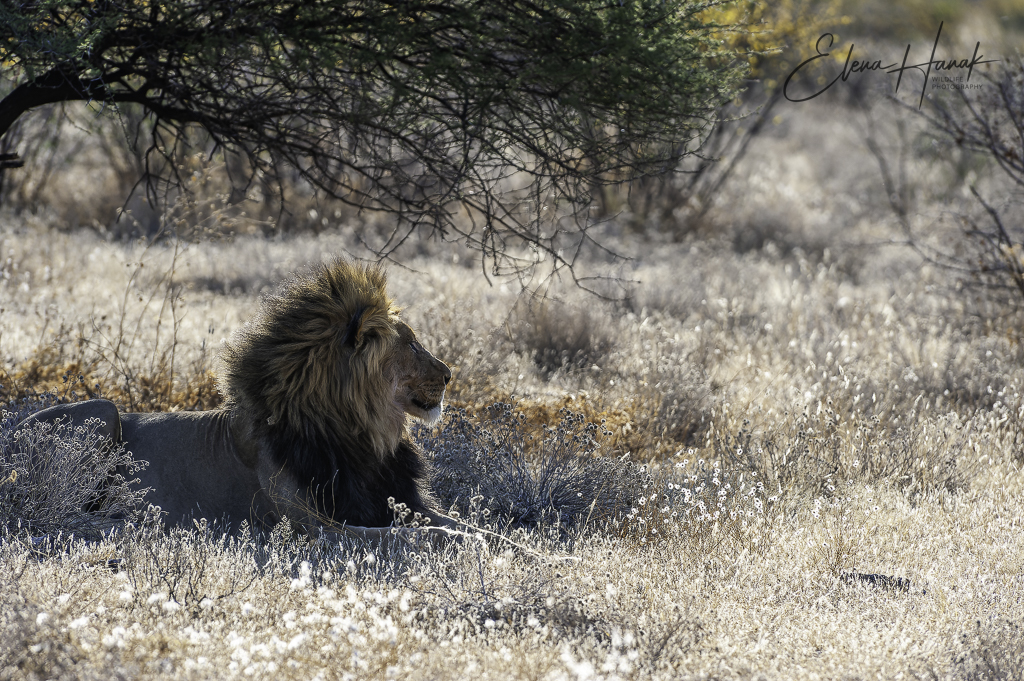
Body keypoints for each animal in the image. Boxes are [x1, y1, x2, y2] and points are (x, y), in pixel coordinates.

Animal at [14, 259, 456, 540]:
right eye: (412, 344)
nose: (450, 374)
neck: (361, 437)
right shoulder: (311, 526)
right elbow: (401, 536)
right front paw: (454, 542)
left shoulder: (393, 499)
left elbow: (456, 521)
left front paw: (472, 536)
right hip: (103, 410)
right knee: (59, 513)